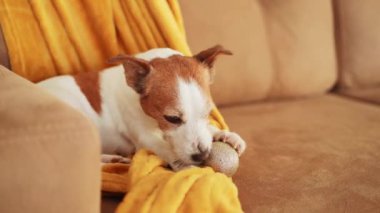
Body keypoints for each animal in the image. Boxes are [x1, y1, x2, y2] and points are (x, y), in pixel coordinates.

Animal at [37, 45, 246, 171]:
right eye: (172, 118)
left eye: (207, 113)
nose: (202, 155)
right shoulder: (145, 137)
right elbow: (164, 147)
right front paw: (183, 165)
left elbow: (209, 129)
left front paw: (226, 135)